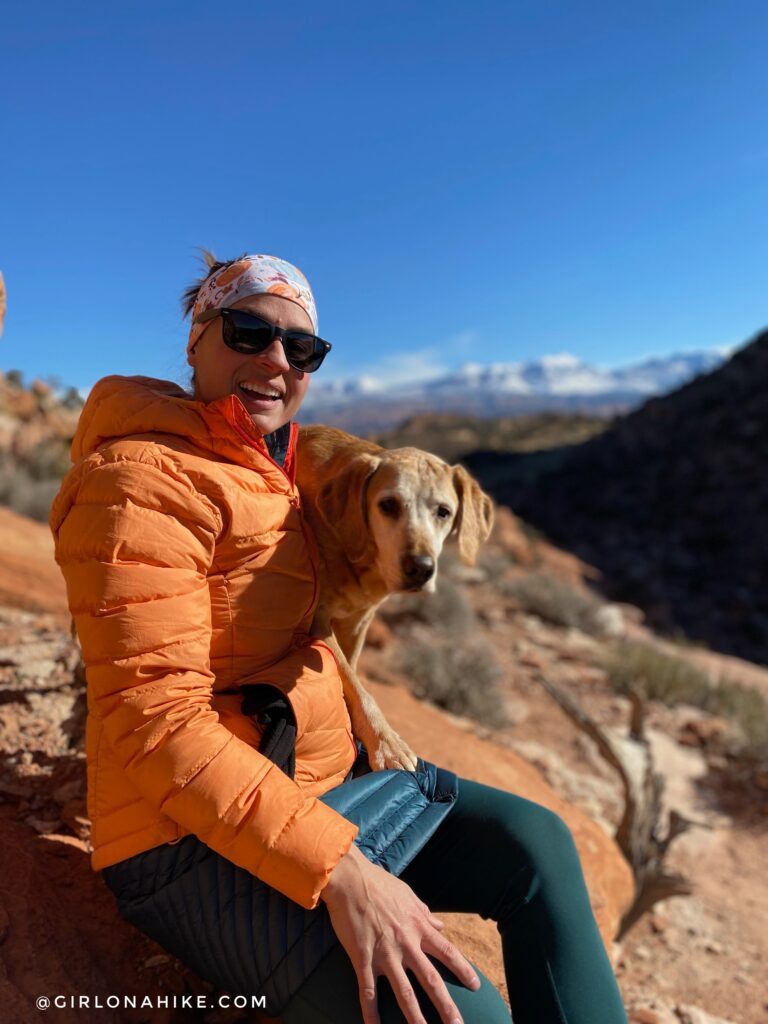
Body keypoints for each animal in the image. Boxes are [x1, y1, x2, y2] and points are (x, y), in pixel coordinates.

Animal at [294, 421, 499, 770]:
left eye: (444, 512)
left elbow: (352, 673)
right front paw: (386, 744)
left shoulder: (358, 622)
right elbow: (356, 686)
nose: (421, 568)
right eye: (387, 505)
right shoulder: (318, 619)